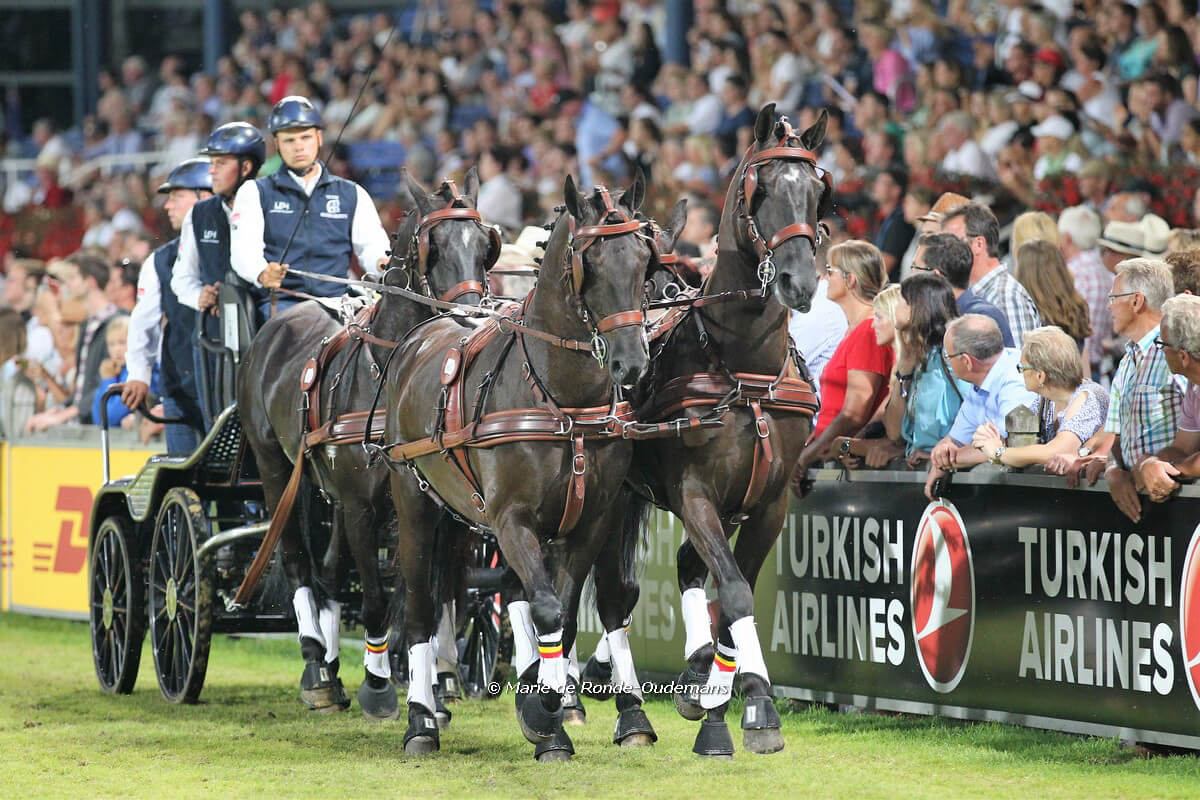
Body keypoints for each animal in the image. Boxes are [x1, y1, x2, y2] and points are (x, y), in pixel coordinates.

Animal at [234, 168, 500, 719]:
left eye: (485, 245)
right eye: (433, 247)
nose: (469, 318)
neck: (392, 371)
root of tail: (277, 326)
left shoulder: (438, 508)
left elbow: (438, 591)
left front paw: (439, 681)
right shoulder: (362, 505)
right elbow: (378, 597)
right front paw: (378, 685)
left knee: (333, 572)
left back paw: (335, 668)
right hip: (277, 473)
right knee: (300, 563)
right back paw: (316, 666)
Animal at [380, 174, 658, 759]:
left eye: (644, 259)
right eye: (590, 261)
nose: (633, 364)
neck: (561, 400)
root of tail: (421, 334)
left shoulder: (593, 521)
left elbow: (566, 615)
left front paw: (552, 712)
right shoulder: (511, 519)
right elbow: (546, 609)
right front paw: (541, 709)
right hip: (413, 503)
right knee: (418, 608)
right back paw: (420, 720)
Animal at [589, 105, 831, 758]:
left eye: (817, 190)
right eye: (761, 190)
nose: (799, 282)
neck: (744, 367)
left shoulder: (768, 502)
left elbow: (731, 591)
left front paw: (737, 701)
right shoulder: (694, 494)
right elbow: (736, 590)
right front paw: (743, 710)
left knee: (682, 572)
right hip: (610, 496)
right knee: (612, 593)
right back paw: (618, 708)